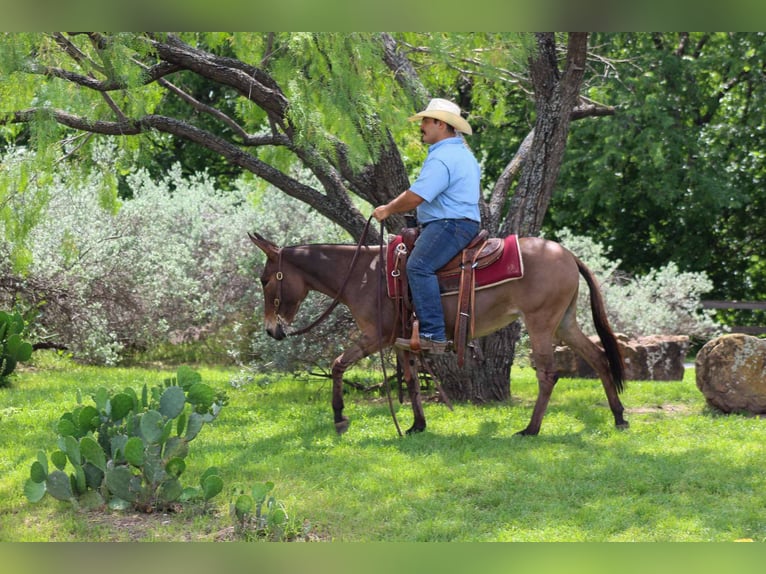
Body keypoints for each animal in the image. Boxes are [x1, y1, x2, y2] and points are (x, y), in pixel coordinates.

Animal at [249, 231, 628, 436]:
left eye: (266, 280)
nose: (271, 330)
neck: (361, 274)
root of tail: (568, 254)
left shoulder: (374, 336)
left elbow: (338, 364)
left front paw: (340, 417)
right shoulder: (400, 339)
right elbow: (412, 381)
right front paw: (417, 425)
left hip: (541, 324)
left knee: (548, 375)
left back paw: (531, 429)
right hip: (564, 323)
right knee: (598, 359)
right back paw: (619, 417)